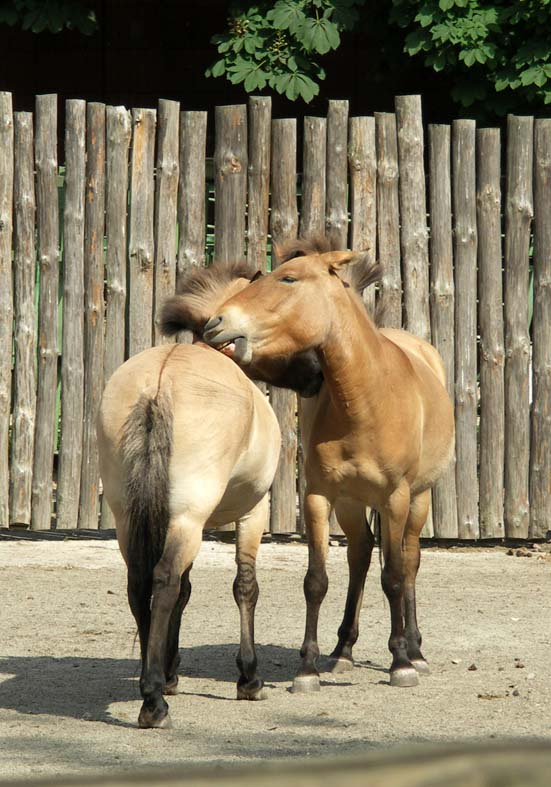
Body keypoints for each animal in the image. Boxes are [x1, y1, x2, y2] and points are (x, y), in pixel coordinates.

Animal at [97, 260, 325, 729]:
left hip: (132, 517)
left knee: (140, 583)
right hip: (189, 517)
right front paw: (249, 678)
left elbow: (185, 592)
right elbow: (244, 587)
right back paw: (153, 702)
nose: (318, 372)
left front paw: (170, 670)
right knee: (163, 581)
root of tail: (158, 384)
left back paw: (154, 682)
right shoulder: (252, 513)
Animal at [202, 238, 455, 693]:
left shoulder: (395, 497)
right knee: (360, 555)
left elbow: (394, 576)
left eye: (287, 278)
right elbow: (316, 581)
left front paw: (401, 664)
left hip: (418, 500)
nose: (216, 322)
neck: (367, 399)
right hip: (352, 505)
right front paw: (308, 668)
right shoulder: (319, 497)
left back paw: (415, 650)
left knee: (408, 561)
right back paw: (343, 651)